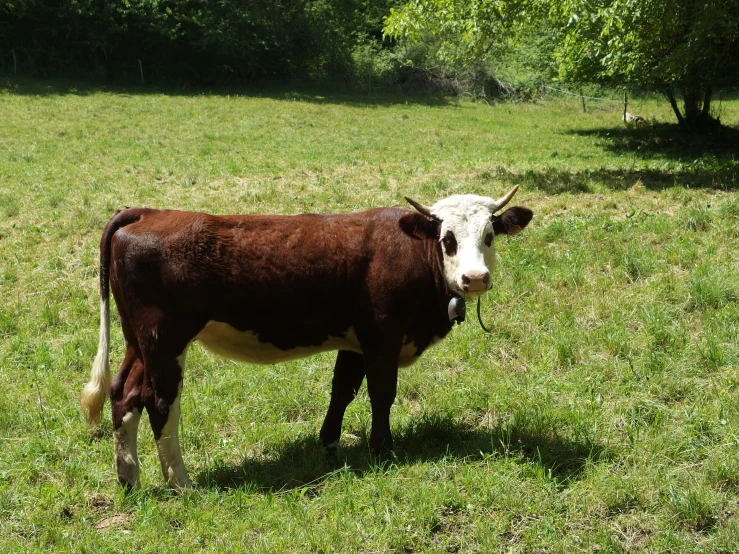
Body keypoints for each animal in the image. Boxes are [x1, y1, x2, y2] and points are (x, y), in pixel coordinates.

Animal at [81, 187, 532, 488]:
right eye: (447, 238)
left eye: (489, 236)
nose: (475, 278)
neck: (411, 253)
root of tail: (148, 212)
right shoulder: (382, 337)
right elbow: (381, 393)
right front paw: (382, 448)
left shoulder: (354, 341)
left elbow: (342, 390)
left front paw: (328, 443)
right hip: (165, 342)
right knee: (159, 403)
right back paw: (181, 483)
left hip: (138, 342)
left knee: (123, 394)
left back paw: (129, 477)